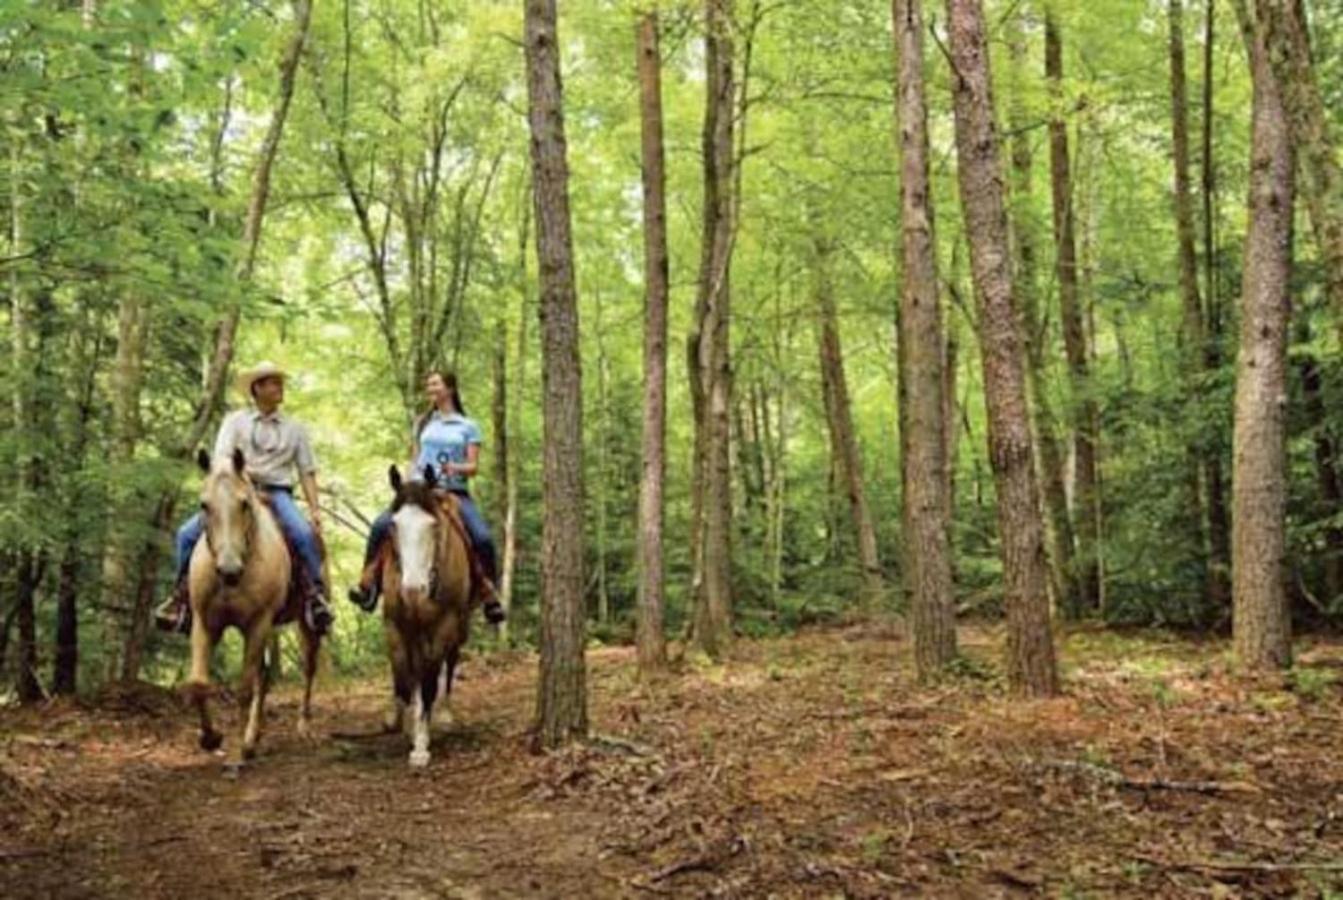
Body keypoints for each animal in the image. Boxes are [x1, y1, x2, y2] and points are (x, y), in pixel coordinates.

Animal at [182, 451, 323, 768]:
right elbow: (198, 684)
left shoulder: (258, 623)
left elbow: (244, 690)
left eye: (244, 504)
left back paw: (303, 726)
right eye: (204, 505)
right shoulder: (204, 623)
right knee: (265, 676)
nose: (229, 570)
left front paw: (235, 755)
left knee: (307, 668)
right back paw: (253, 737)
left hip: (306, 624)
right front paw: (211, 738)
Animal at [381, 464, 475, 768]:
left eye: (433, 526)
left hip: (459, 626)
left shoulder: (444, 625)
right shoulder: (396, 625)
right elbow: (404, 673)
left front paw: (421, 746)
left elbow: (430, 680)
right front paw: (401, 722)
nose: (413, 590)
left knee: (449, 662)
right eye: (393, 525)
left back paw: (444, 713)